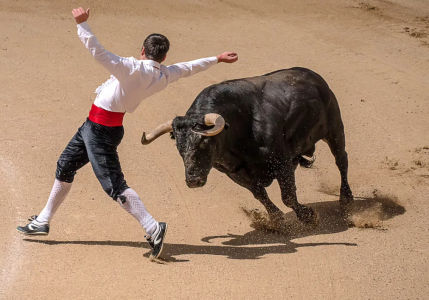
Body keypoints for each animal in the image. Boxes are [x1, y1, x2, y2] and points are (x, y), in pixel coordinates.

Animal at [142, 67, 352, 224]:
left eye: (204, 143)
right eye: (180, 149)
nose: (193, 180)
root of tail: (313, 76)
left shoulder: (281, 163)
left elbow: (288, 196)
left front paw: (308, 216)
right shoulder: (235, 173)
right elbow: (260, 194)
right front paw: (276, 220)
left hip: (334, 129)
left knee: (341, 161)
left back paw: (346, 201)